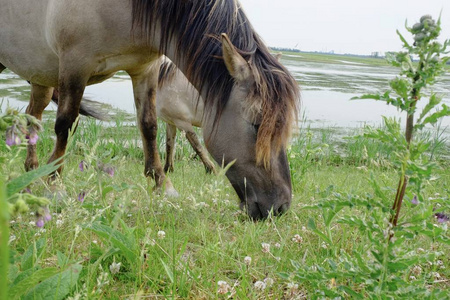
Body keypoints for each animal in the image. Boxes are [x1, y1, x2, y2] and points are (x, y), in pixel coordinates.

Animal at [2, 0, 302, 220]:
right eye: (256, 124)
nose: (281, 206)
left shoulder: (145, 69)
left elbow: (149, 126)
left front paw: (162, 185)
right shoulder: (74, 65)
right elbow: (65, 124)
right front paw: (53, 185)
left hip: (41, 77)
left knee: (33, 117)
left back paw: (31, 171)